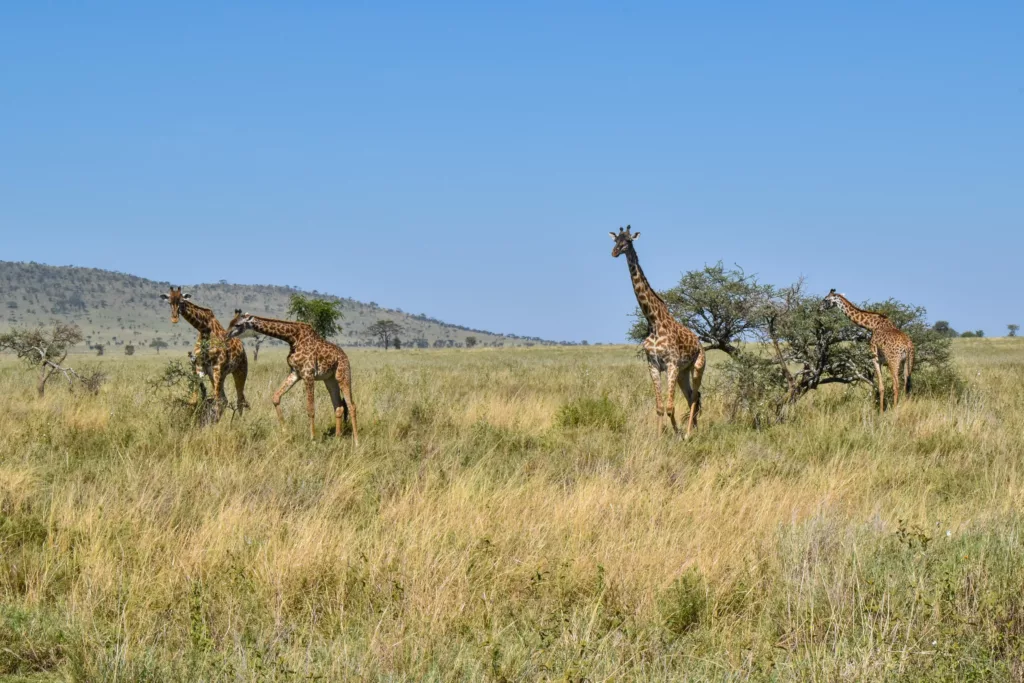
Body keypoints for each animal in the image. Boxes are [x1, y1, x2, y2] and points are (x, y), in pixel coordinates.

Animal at [158, 286, 248, 417]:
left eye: (181, 301)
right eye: (169, 302)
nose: (174, 319)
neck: (204, 328)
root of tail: (242, 347)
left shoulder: (218, 367)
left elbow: (216, 400)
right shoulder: (199, 367)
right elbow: (194, 400)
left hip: (239, 371)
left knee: (238, 400)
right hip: (218, 375)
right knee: (225, 399)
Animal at [225, 313, 360, 446]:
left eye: (237, 324)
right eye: (230, 322)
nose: (226, 336)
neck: (292, 338)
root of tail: (344, 356)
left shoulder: (308, 374)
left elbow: (310, 408)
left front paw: (313, 439)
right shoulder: (295, 373)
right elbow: (275, 397)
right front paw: (285, 432)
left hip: (343, 375)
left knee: (351, 406)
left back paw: (356, 442)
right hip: (330, 380)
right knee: (339, 406)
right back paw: (337, 438)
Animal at [606, 224, 704, 438]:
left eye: (628, 241)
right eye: (615, 240)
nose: (614, 252)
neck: (653, 321)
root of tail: (699, 343)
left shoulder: (671, 365)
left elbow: (669, 407)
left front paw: (677, 435)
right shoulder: (653, 365)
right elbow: (660, 407)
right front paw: (659, 437)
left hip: (698, 366)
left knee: (695, 397)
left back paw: (689, 433)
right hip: (683, 372)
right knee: (692, 396)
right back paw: (693, 428)